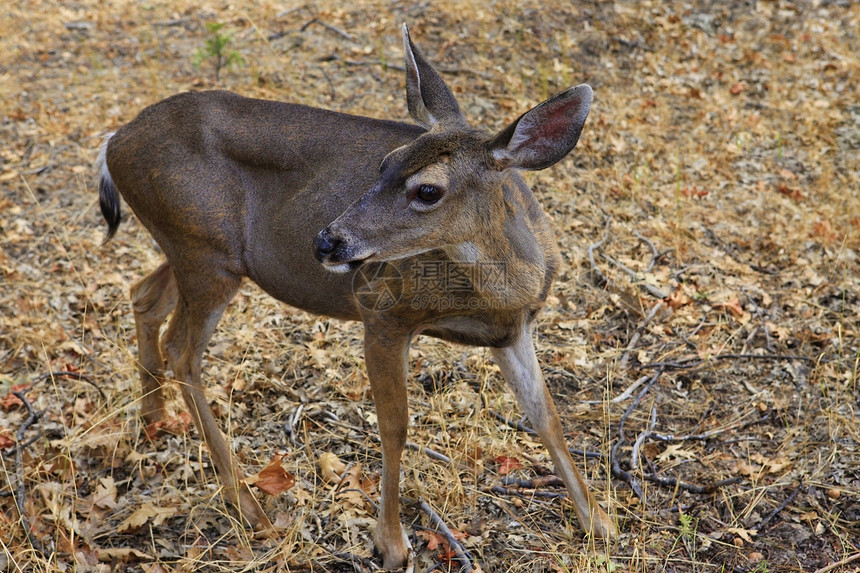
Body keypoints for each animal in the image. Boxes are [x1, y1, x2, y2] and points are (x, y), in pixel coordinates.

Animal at [97, 24, 616, 568]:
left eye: (427, 190)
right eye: (384, 164)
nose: (327, 241)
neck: (505, 290)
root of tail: (115, 140)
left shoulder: (514, 330)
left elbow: (547, 417)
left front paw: (599, 522)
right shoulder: (383, 310)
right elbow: (395, 426)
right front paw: (392, 543)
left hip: (197, 249)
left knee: (143, 295)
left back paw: (155, 420)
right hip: (203, 252)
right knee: (182, 349)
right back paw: (248, 506)